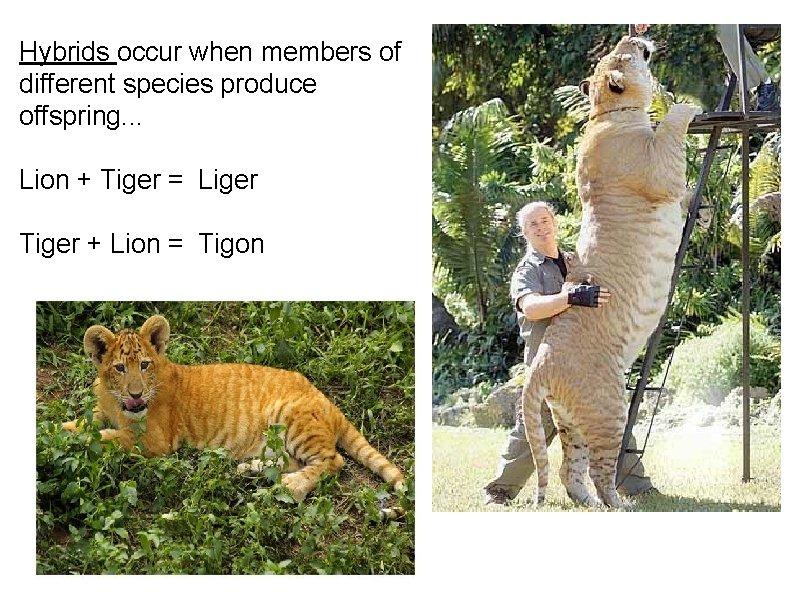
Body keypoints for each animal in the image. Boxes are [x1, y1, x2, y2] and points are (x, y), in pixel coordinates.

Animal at [61, 314, 406, 516]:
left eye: (144, 365)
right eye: (120, 368)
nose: (135, 394)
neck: (117, 403)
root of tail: (330, 404)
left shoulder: (155, 442)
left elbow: (109, 438)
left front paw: (75, 443)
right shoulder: (103, 409)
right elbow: (86, 422)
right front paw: (61, 429)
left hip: (289, 416)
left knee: (333, 461)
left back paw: (291, 488)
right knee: (293, 461)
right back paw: (250, 472)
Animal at [520, 36, 700, 508]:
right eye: (628, 53)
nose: (636, 36)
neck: (606, 114)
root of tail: (539, 367)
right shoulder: (660, 170)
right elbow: (671, 130)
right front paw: (688, 104)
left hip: (570, 419)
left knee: (569, 468)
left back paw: (589, 504)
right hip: (608, 405)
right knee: (601, 470)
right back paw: (619, 505)